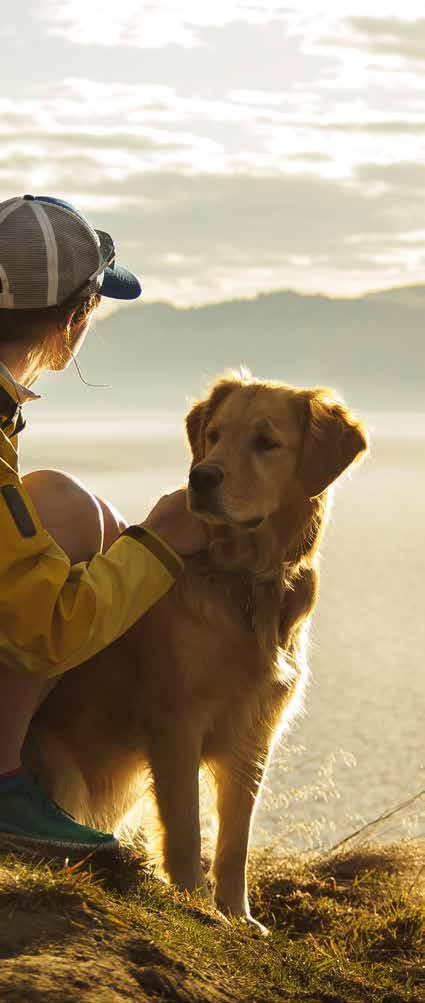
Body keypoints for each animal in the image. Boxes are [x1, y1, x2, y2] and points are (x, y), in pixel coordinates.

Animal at [25, 371, 368, 930]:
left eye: (266, 442)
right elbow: (185, 825)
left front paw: (238, 915)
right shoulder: (176, 721)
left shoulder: (254, 733)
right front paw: (192, 901)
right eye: (215, 435)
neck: (246, 581)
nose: (201, 478)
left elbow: (235, 839)